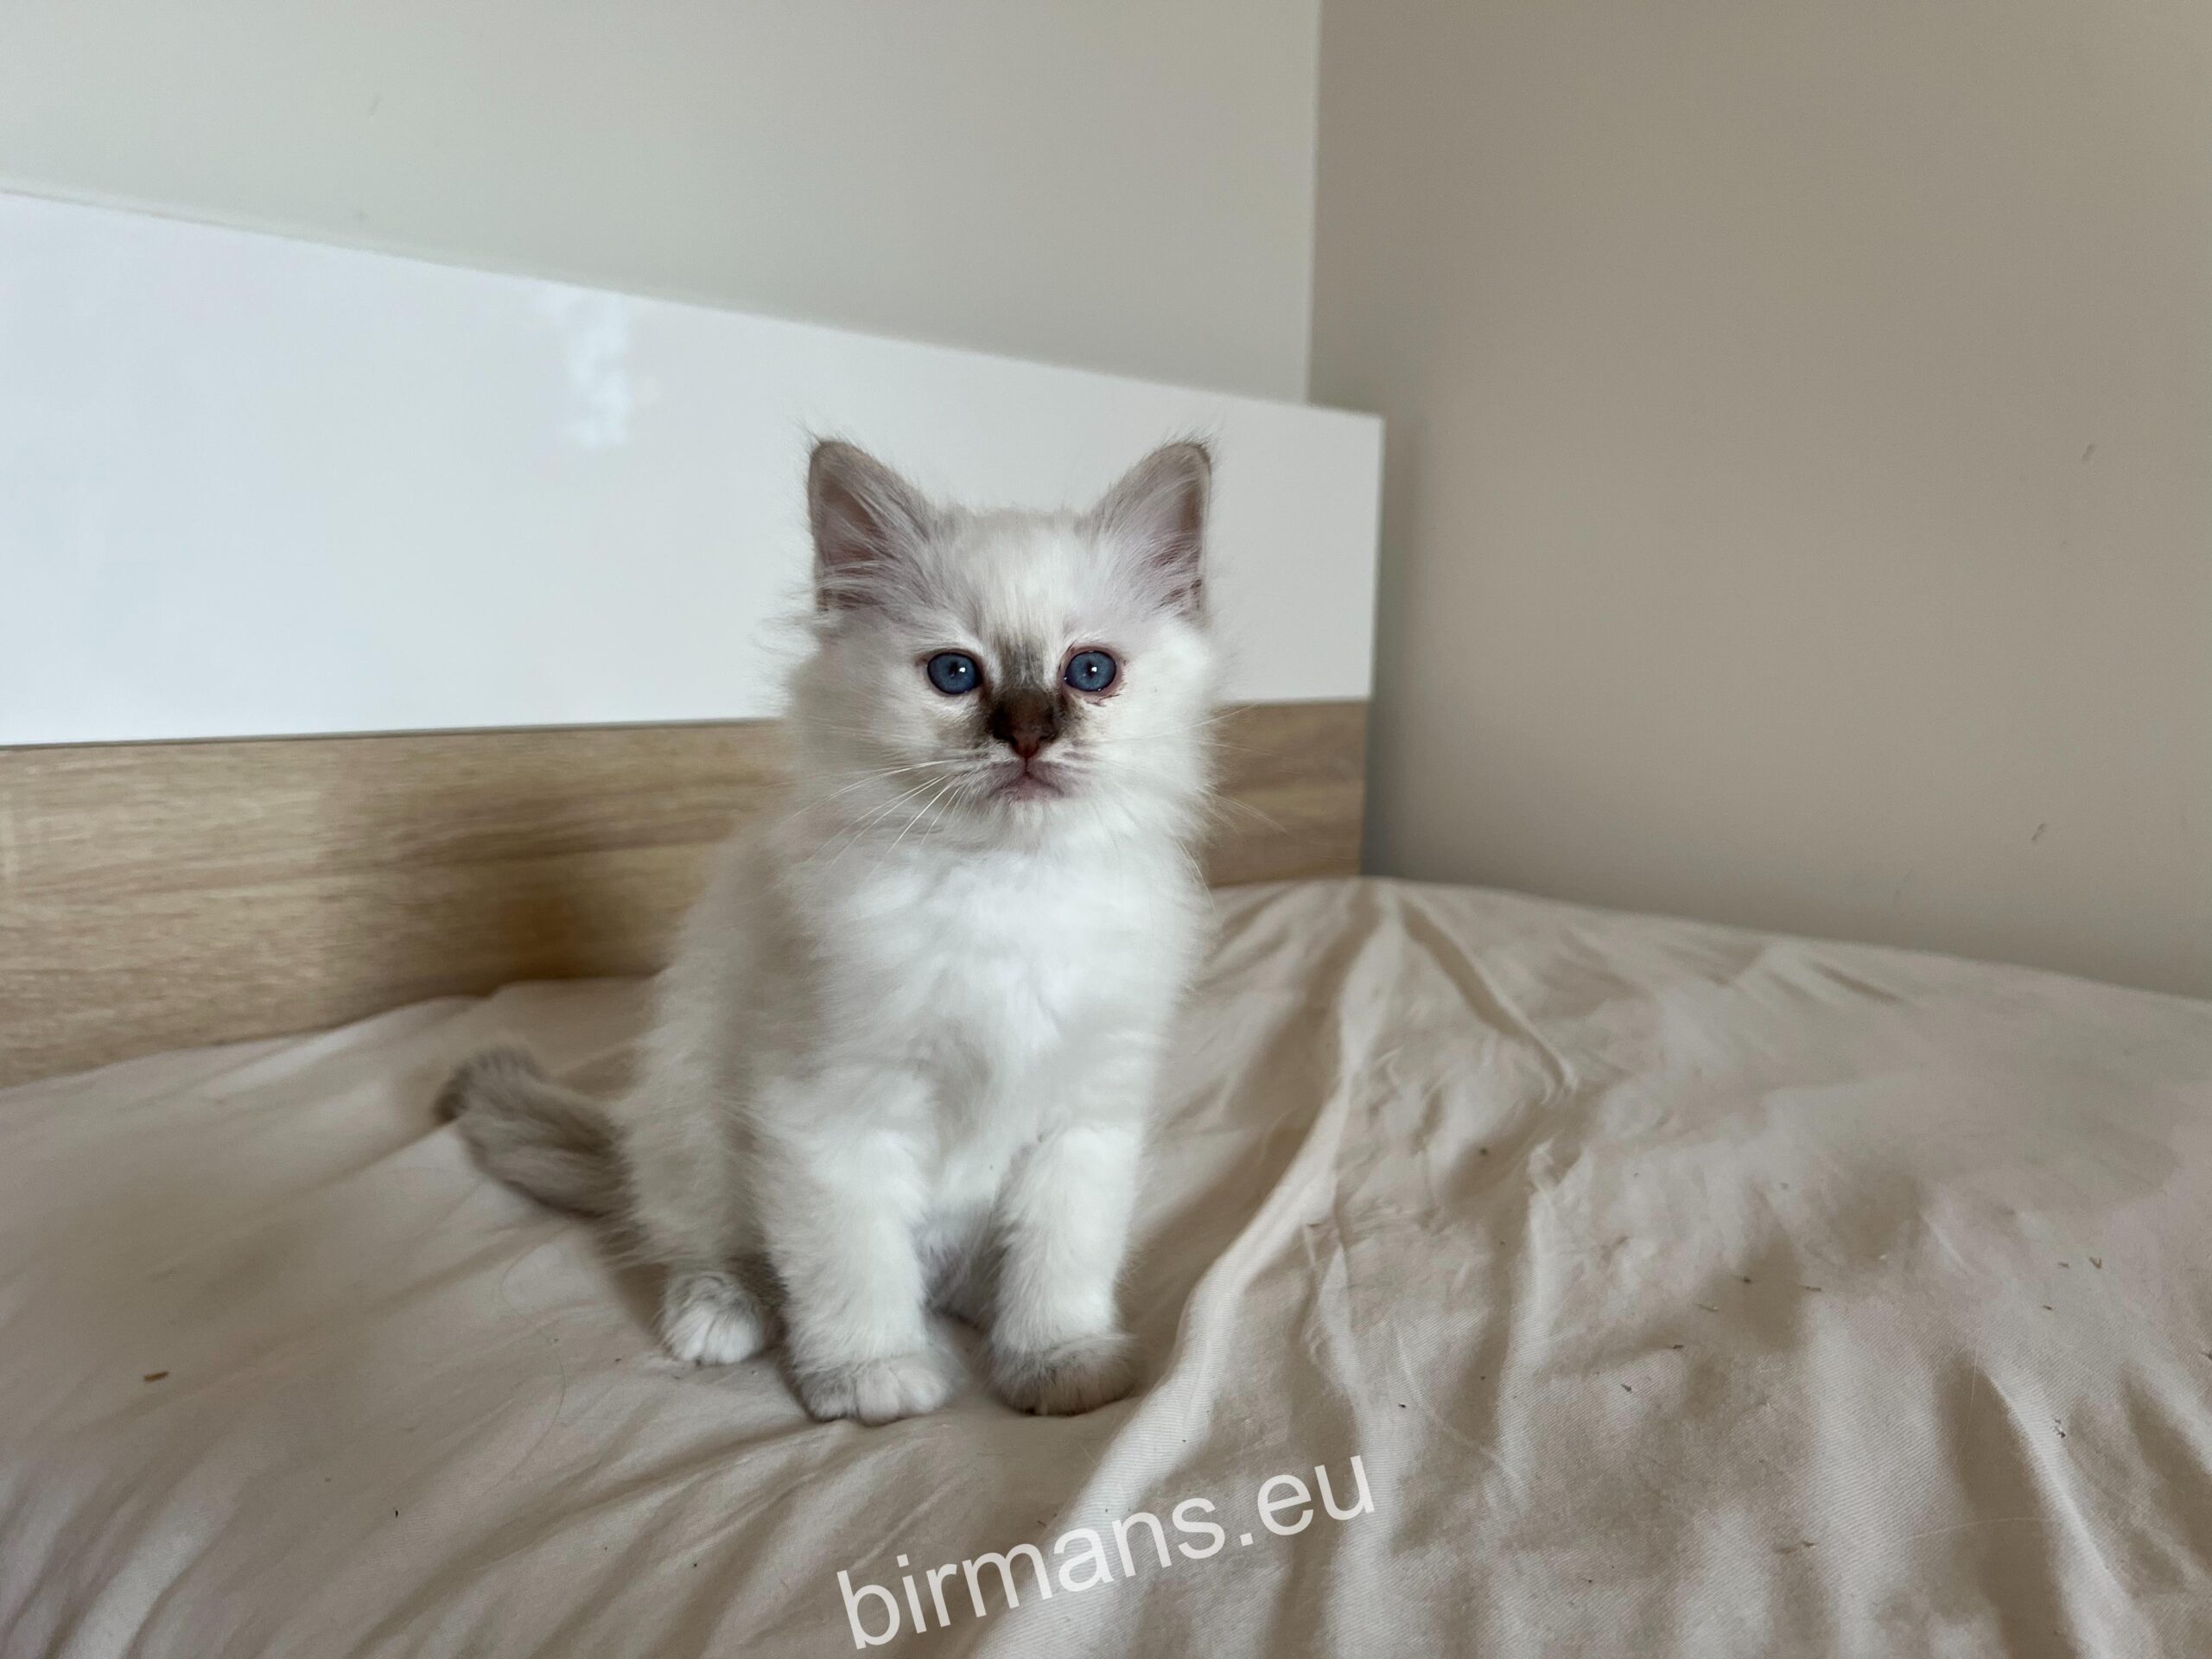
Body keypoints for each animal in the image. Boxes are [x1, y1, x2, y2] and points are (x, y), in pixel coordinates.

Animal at [438, 437, 1218, 1424]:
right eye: (955, 674)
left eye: (1090, 673)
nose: (1028, 735)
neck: (1005, 894)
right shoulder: (831, 1114)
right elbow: (855, 1267)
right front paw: (870, 1379)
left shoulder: (1083, 1122)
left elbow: (1060, 1266)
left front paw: (1057, 1363)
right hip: (692, 1120)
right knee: (708, 1245)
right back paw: (723, 1313)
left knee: (965, 1271)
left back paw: (982, 1301)